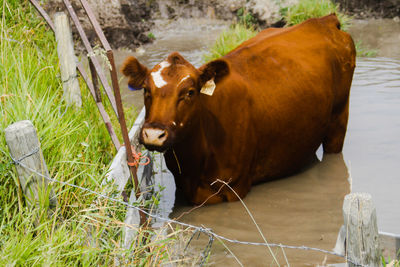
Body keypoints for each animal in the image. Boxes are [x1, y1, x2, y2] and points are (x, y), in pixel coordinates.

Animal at [122, 14, 356, 205]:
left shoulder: (235, 188)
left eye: (190, 92)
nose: (154, 134)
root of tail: (323, 21)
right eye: (146, 90)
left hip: (338, 119)